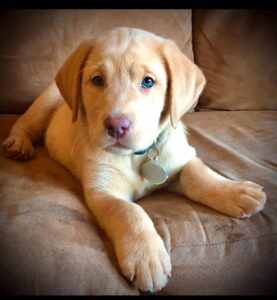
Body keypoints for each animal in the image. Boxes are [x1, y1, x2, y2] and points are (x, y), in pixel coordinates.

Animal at [2, 27, 266, 292]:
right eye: (97, 80)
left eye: (148, 81)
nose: (117, 126)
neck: (139, 155)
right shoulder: (102, 190)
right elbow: (129, 211)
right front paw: (146, 257)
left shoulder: (179, 158)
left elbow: (198, 173)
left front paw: (235, 191)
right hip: (46, 102)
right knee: (24, 123)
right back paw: (18, 144)